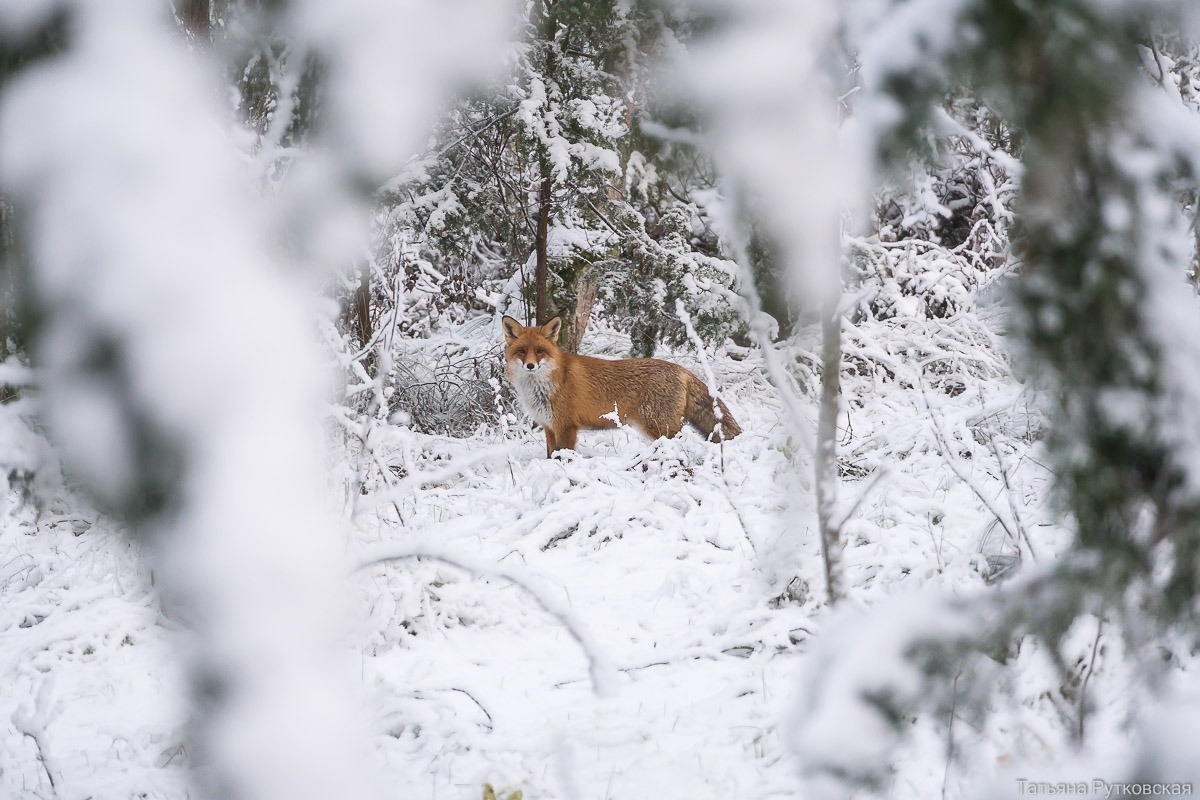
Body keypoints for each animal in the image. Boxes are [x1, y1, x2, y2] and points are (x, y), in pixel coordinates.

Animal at [499, 316, 739, 460]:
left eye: (540, 351)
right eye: (522, 351)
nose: (530, 365)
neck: (544, 386)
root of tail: (682, 370)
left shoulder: (566, 427)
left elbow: (565, 456)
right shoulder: (549, 426)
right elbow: (551, 456)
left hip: (659, 426)